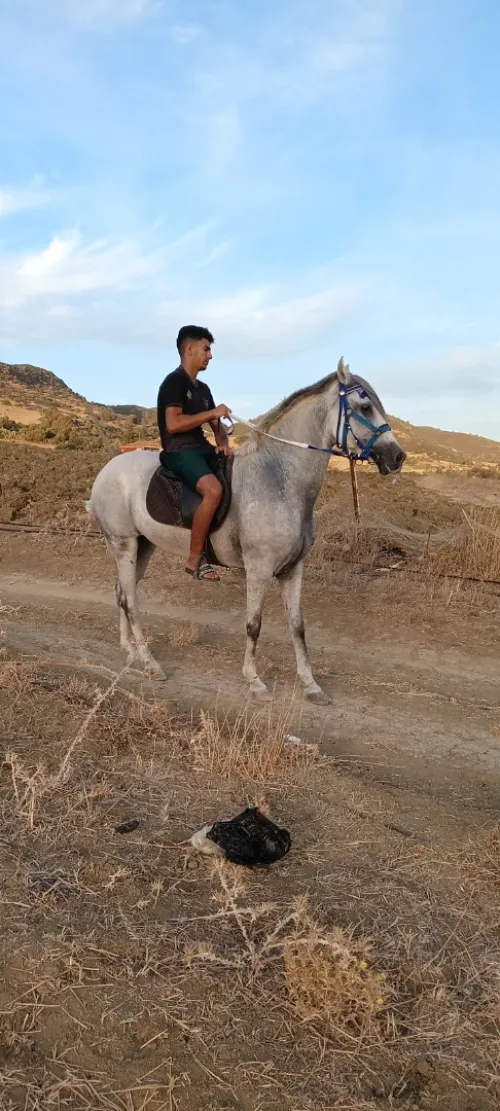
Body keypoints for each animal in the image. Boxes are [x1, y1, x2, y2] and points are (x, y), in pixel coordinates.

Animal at [87, 358, 405, 703]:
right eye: (365, 406)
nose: (398, 456)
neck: (279, 479)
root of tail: (106, 471)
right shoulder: (259, 568)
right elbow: (254, 624)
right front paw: (254, 681)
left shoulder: (293, 569)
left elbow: (298, 625)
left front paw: (310, 684)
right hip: (124, 545)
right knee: (131, 601)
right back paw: (149, 663)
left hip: (143, 545)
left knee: (122, 593)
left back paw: (130, 650)